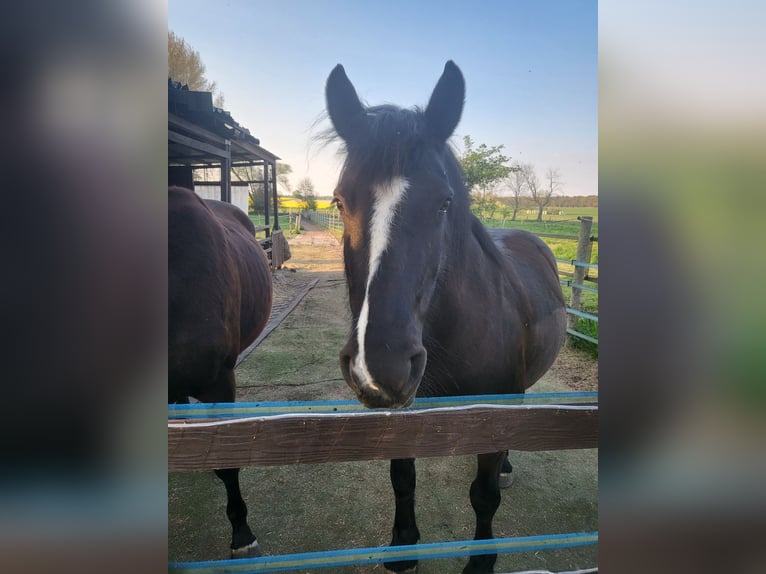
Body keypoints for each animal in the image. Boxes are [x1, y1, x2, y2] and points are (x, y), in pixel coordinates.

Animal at [326, 60, 568, 572]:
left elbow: (484, 495)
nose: (379, 366)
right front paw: (403, 546)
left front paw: (480, 562)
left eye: (443, 202)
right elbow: (402, 477)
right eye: (339, 201)